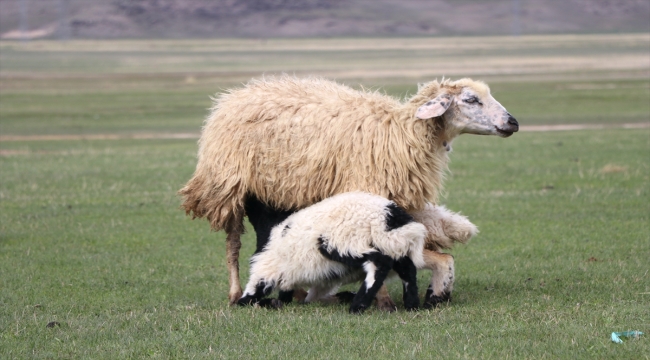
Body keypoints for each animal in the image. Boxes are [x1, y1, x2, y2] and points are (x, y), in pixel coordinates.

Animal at [180, 74, 520, 308]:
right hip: (230, 186)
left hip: (277, 195)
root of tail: (234, 95)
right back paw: (236, 292)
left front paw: (435, 292)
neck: (402, 133)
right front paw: (384, 301)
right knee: (233, 245)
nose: (513, 122)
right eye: (471, 99)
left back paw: (298, 291)